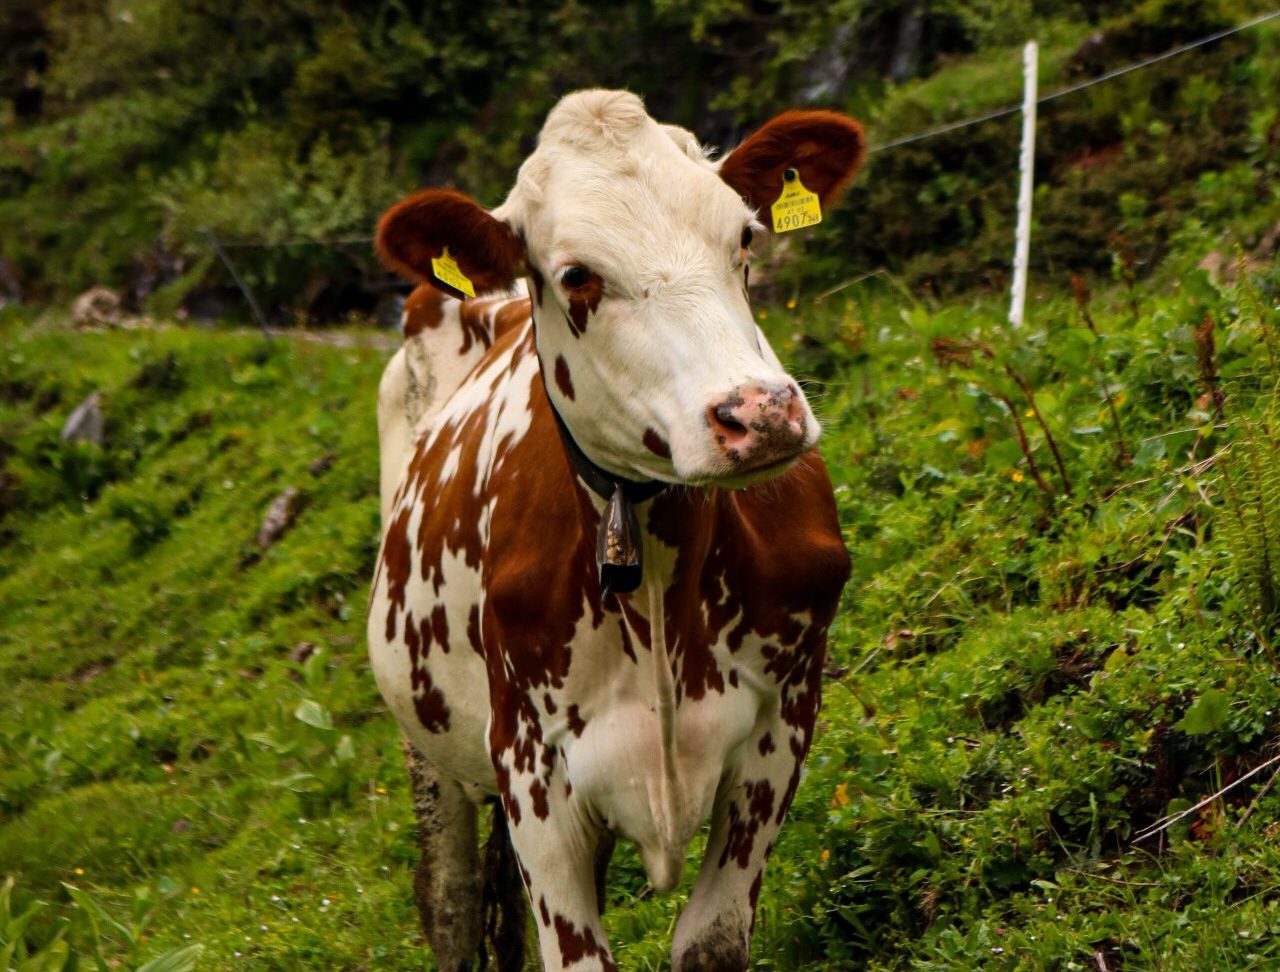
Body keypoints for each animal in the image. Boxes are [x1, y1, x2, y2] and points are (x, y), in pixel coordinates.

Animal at [371, 87, 865, 968]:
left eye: (744, 236)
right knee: (451, 902)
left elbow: (711, 941)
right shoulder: (533, 774)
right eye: (577, 275)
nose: (760, 414)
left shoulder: (782, 725)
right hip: (429, 747)